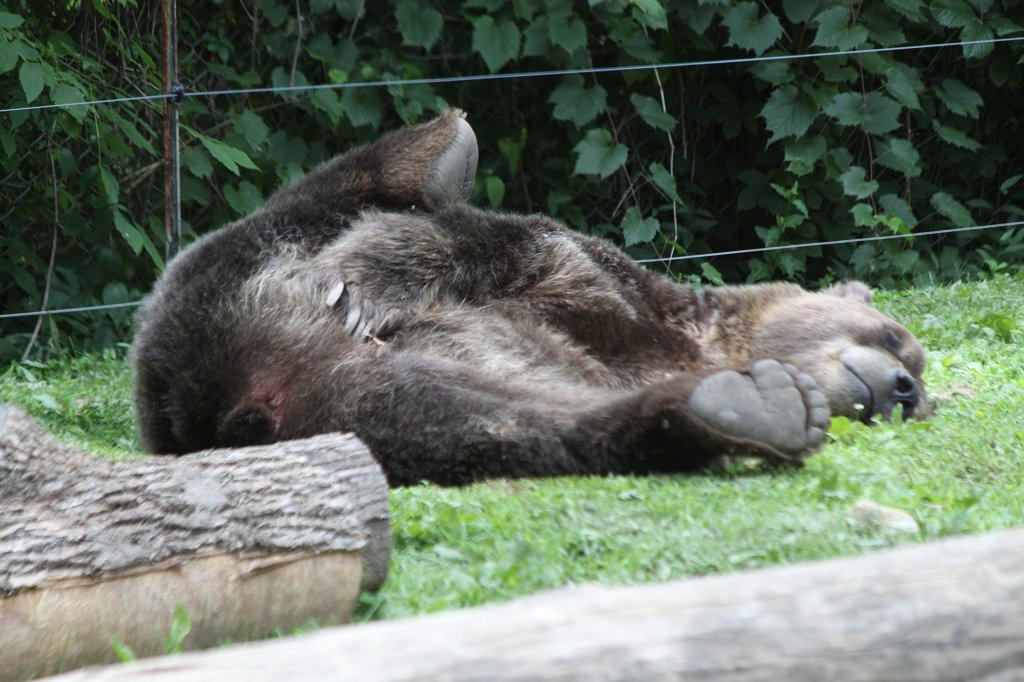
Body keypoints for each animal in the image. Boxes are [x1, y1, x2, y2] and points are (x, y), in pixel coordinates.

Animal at [132, 111, 928, 486]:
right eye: (893, 334)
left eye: (924, 392)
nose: (903, 389)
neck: (691, 339)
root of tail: (208, 410)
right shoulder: (596, 273)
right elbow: (483, 244)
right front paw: (363, 287)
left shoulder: (608, 350)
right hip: (226, 285)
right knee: (326, 198)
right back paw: (444, 152)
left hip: (335, 399)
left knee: (489, 422)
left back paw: (748, 407)